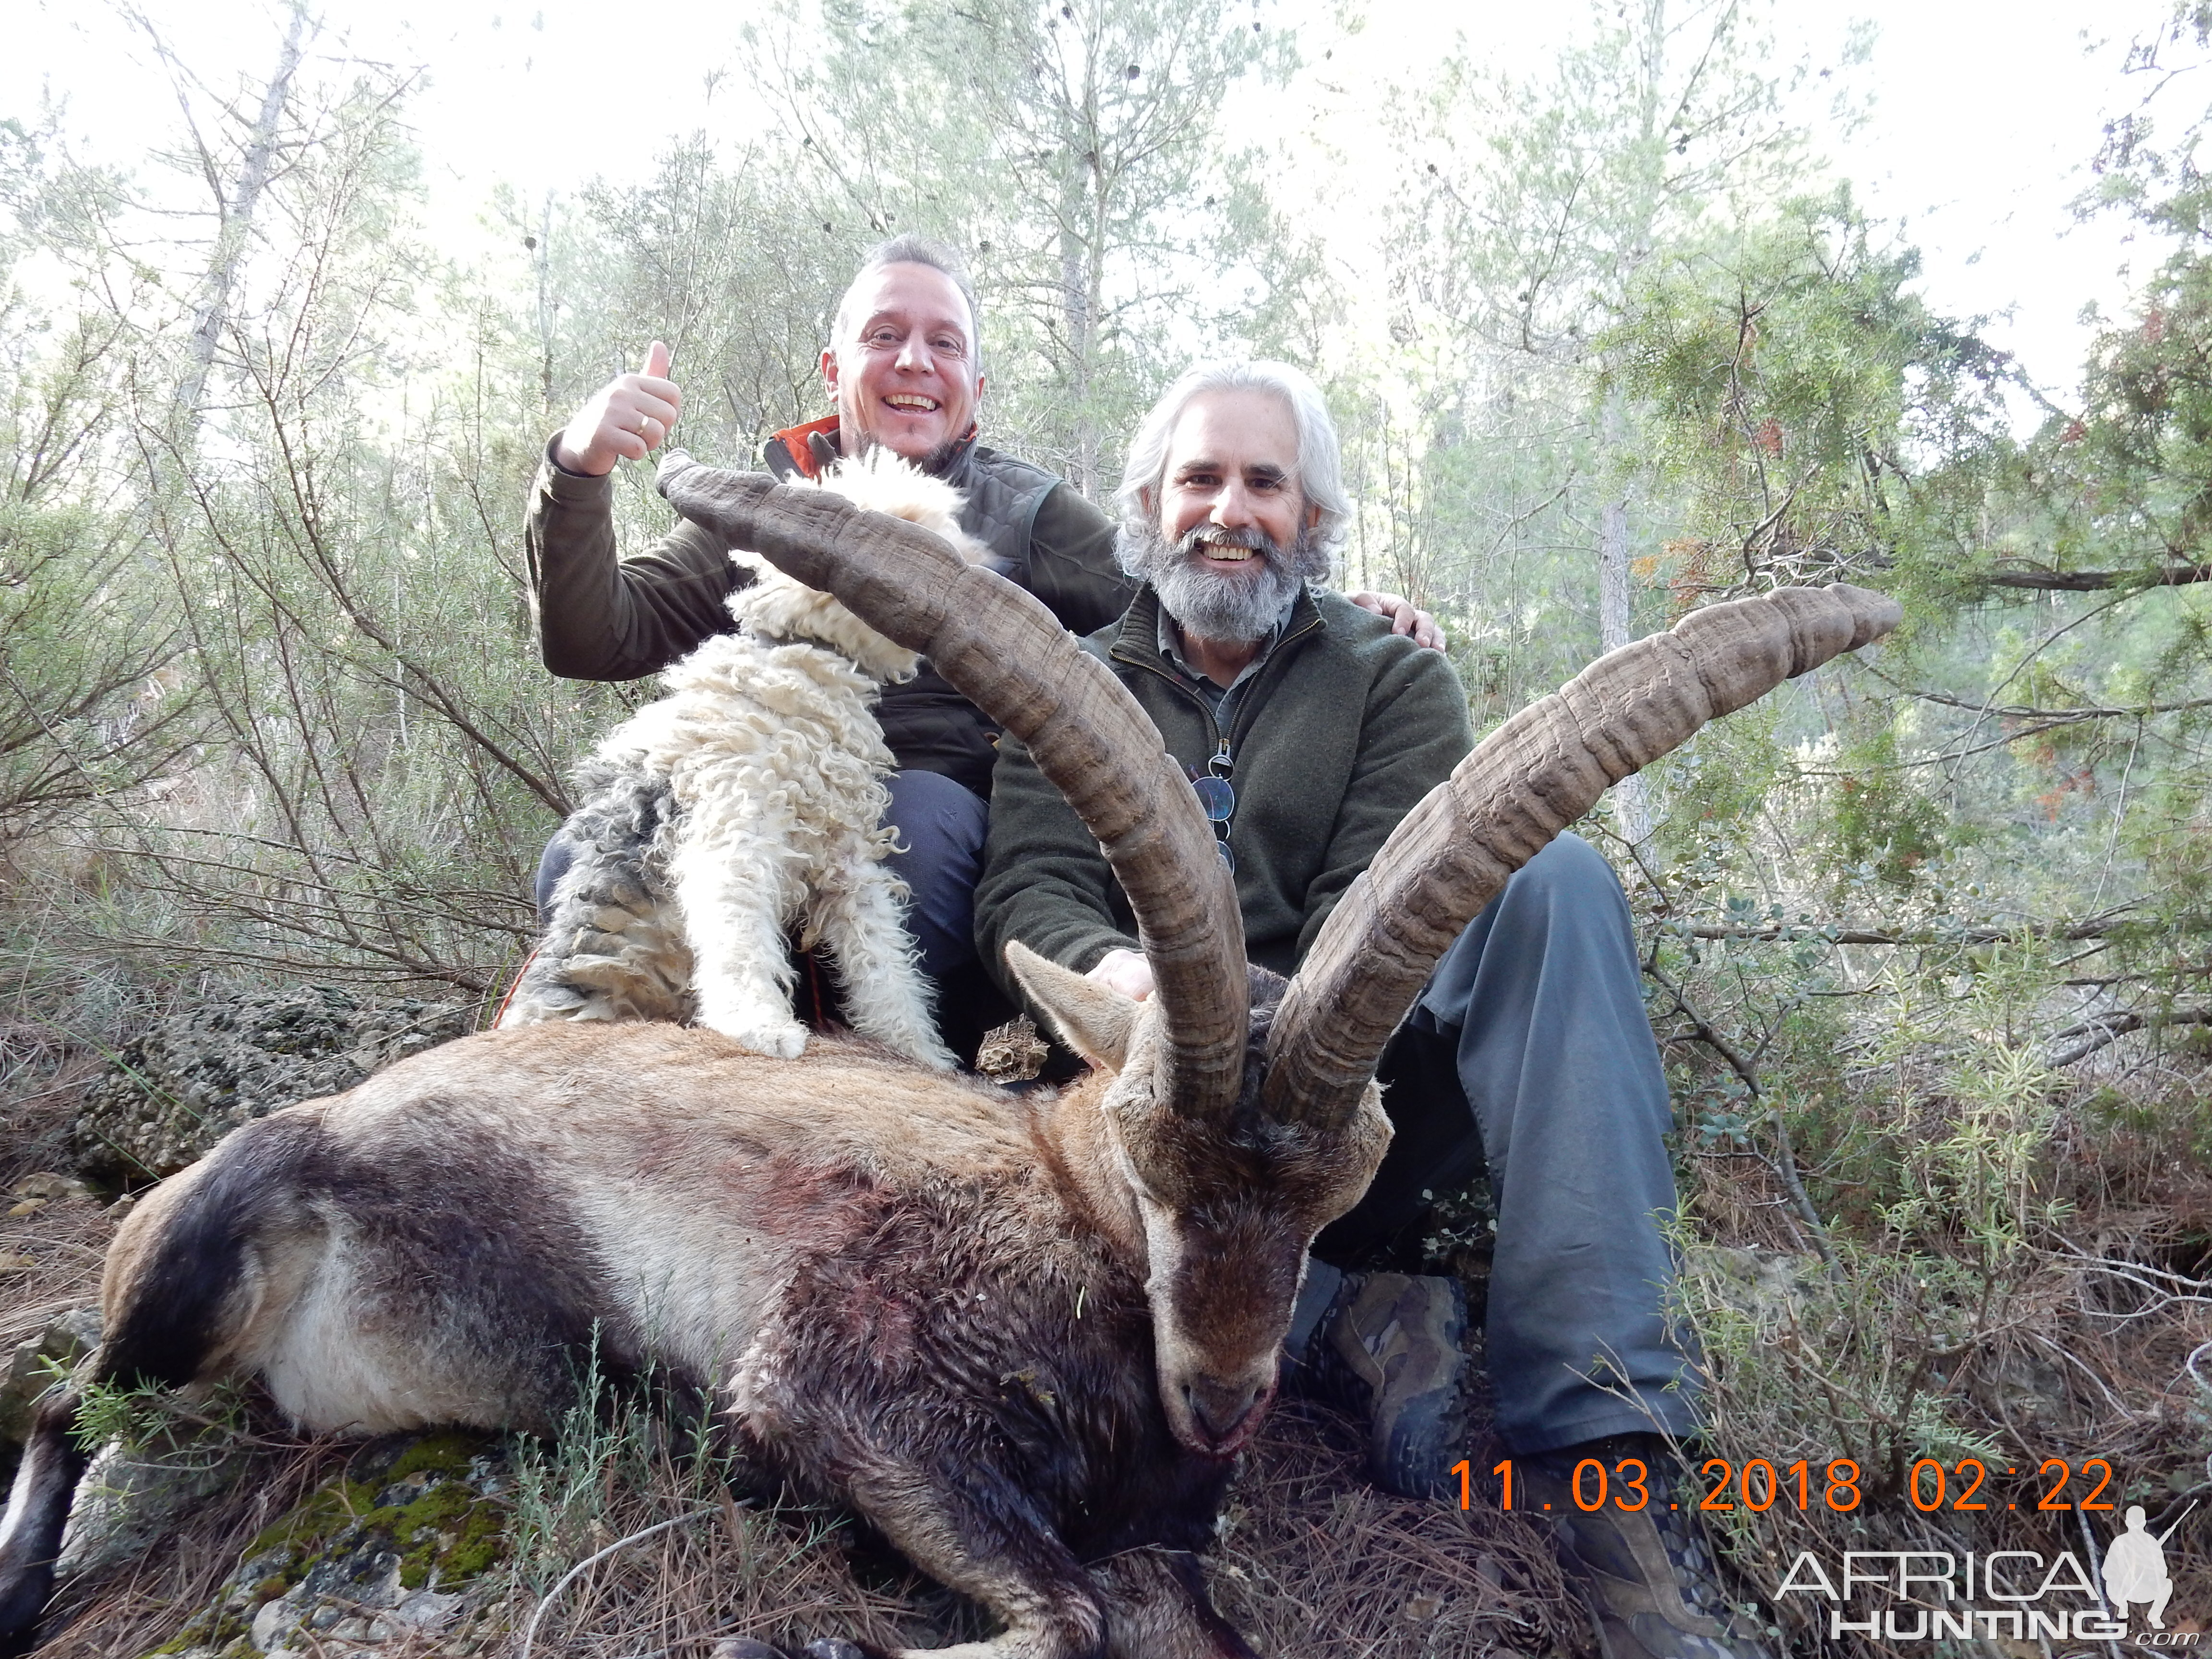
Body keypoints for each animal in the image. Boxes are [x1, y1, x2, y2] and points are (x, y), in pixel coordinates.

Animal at [508, 449, 986, 1070]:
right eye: (915, 527)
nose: (984, 563)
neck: (798, 656)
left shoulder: (849, 860)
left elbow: (883, 962)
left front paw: (918, 1052)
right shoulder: (733, 828)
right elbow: (735, 927)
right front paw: (759, 1026)